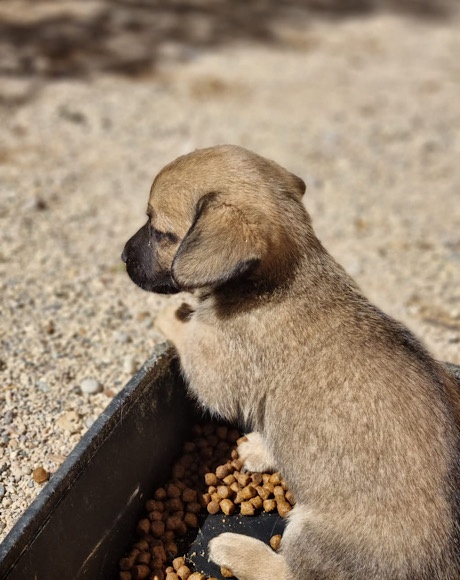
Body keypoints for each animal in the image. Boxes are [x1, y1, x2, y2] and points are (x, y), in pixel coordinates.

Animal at [122, 145, 460, 579]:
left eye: (160, 232)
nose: (121, 256)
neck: (280, 277)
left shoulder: (216, 369)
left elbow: (188, 337)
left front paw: (170, 316)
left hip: (309, 532)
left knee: (285, 571)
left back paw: (232, 548)